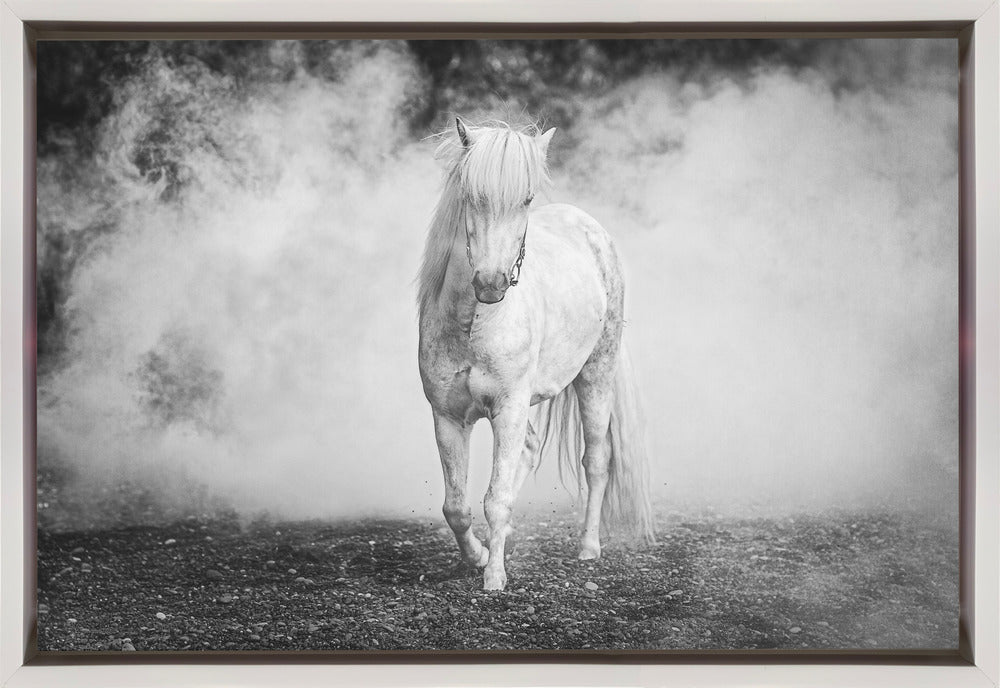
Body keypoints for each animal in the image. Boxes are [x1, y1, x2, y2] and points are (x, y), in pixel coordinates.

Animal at [417, 117, 655, 591]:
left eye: (526, 199)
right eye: (472, 196)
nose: (491, 284)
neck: (475, 323)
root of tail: (591, 229)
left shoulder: (508, 408)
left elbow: (496, 498)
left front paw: (494, 578)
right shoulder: (447, 416)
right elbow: (456, 506)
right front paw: (477, 557)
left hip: (596, 377)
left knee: (596, 460)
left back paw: (588, 548)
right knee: (527, 451)